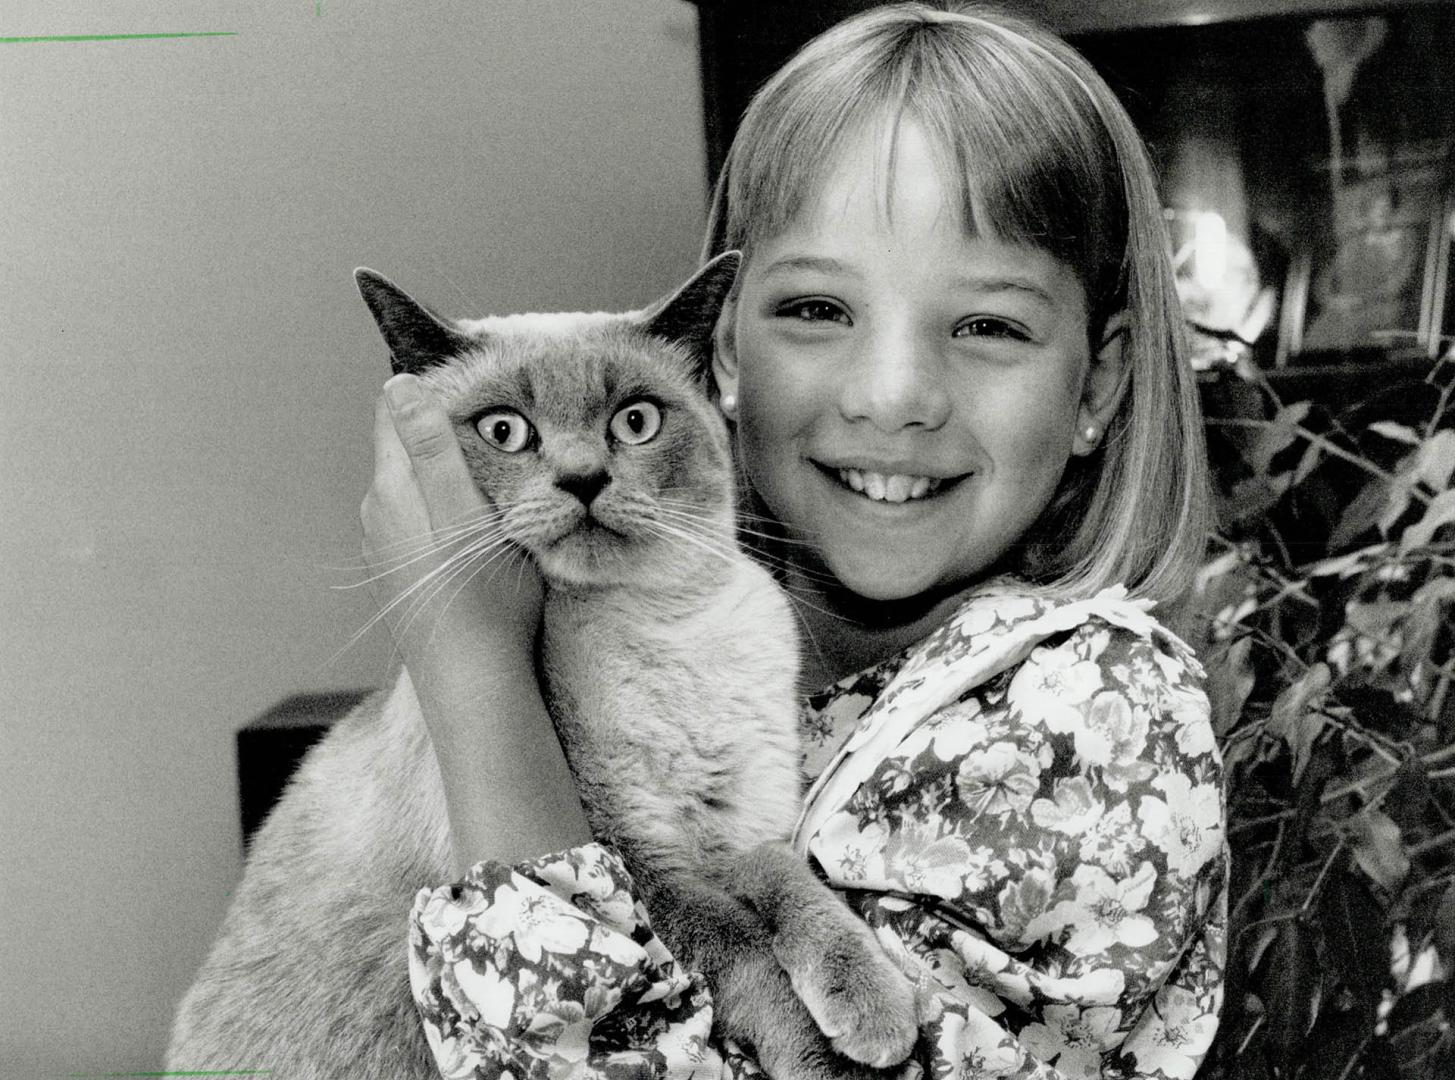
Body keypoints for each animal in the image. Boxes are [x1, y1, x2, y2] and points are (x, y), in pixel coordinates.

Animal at [165, 256, 913, 1080]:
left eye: (635, 421)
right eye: (505, 430)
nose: (584, 479)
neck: (660, 624)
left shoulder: (739, 836)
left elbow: (800, 894)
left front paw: (871, 1008)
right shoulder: (638, 860)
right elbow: (741, 952)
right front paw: (835, 1058)